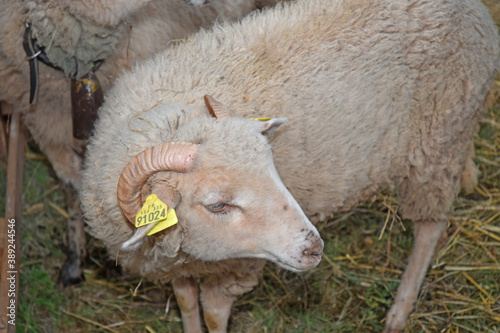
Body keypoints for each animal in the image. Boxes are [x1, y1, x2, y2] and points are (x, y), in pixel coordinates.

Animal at [80, 0, 498, 330]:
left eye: (273, 170)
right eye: (218, 205)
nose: (313, 249)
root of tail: (473, 9)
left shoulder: (236, 268)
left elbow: (213, 314)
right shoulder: (175, 263)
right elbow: (185, 304)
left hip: (434, 148)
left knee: (430, 228)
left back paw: (399, 310)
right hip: (453, 133)